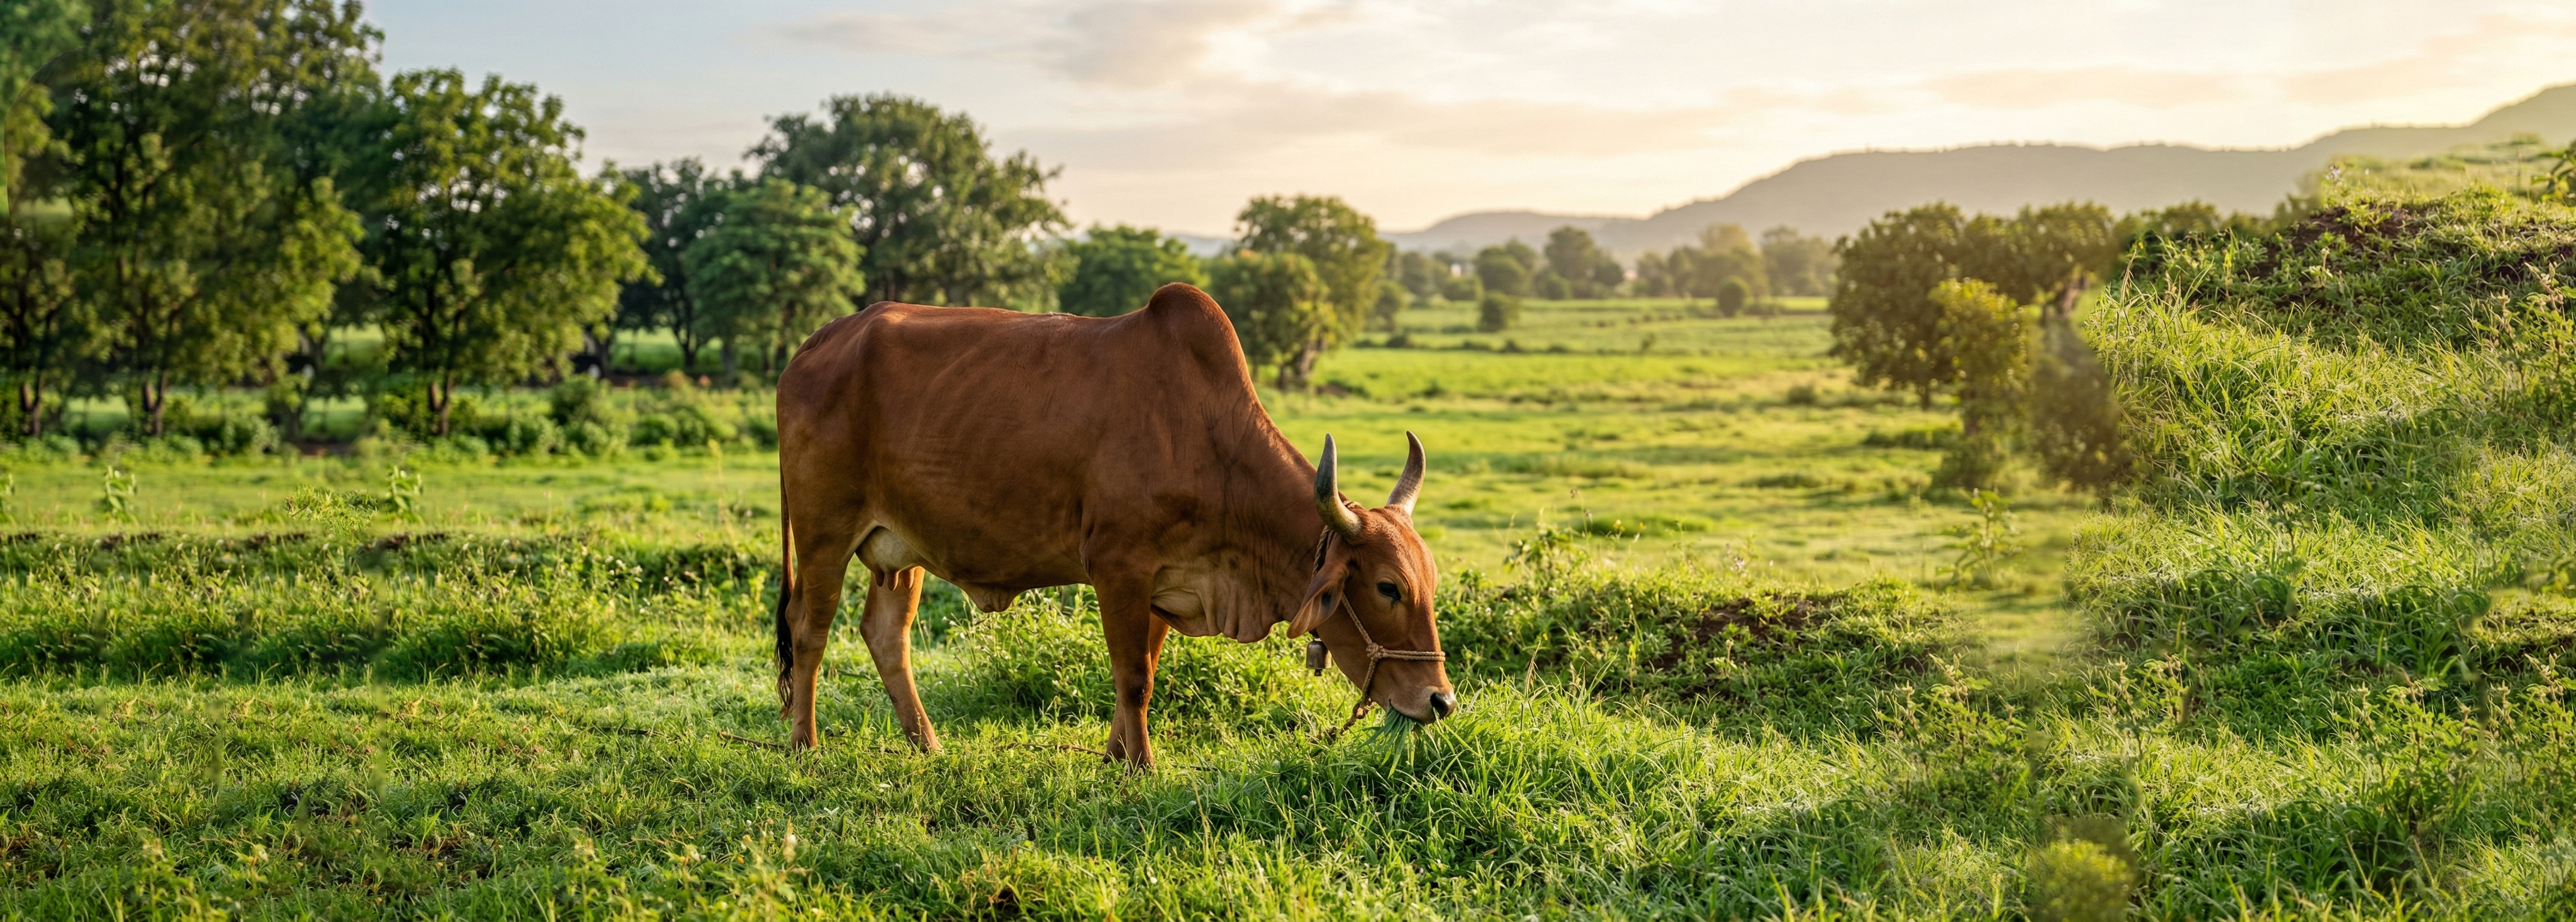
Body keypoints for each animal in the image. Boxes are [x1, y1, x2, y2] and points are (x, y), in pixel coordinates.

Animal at [771, 282, 1456, 767]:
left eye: (1430, 586)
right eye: (1388, 588)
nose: (1440, 700)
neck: (1209, 439)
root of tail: (819, 341)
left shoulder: (1166, 581)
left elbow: (1142, 671)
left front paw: (1115, 757)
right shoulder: (1119, 568)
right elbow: (1134, 679)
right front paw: (1142, 767)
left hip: (901, 548)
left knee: (886, 634)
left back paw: (926, 744)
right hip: (824, 532)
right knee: (809, 627)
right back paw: (806, 746)